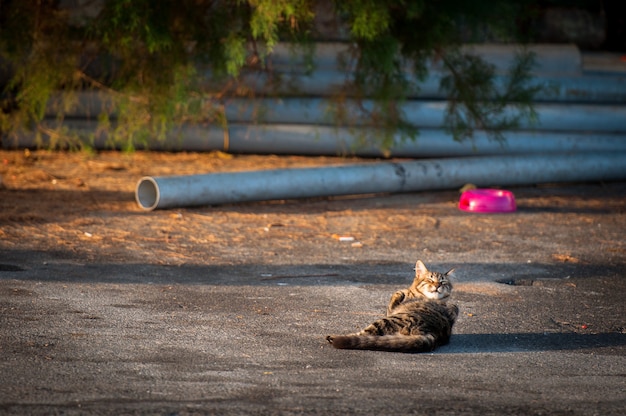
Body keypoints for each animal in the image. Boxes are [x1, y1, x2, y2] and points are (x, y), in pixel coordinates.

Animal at [324, 260, 456, 352]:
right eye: (430, 280)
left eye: (443, 282)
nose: (438, 285)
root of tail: (432, 333)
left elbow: (397, 294)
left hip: (388, 320)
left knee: (364, 334)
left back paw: (333, 337)